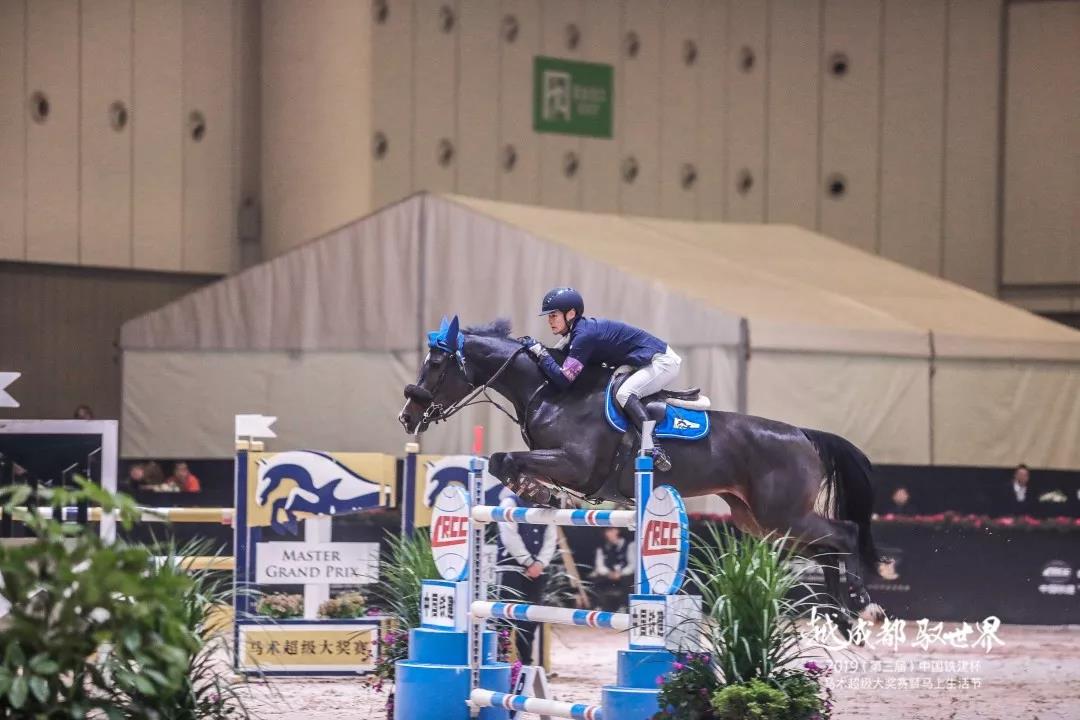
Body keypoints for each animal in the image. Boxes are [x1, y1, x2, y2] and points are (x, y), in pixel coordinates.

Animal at [401, 315, 881, 626]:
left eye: (437, 364)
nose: (407, 417)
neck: (551, 391)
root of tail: (802, 435)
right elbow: (502, 461)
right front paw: (540, 494)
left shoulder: (576, 465)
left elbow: (508, 460)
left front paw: (540, 493)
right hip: (760, 521)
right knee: (826, 549)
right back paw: (842, 617)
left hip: (782, 514)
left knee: (844, 534)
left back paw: (862, 605)